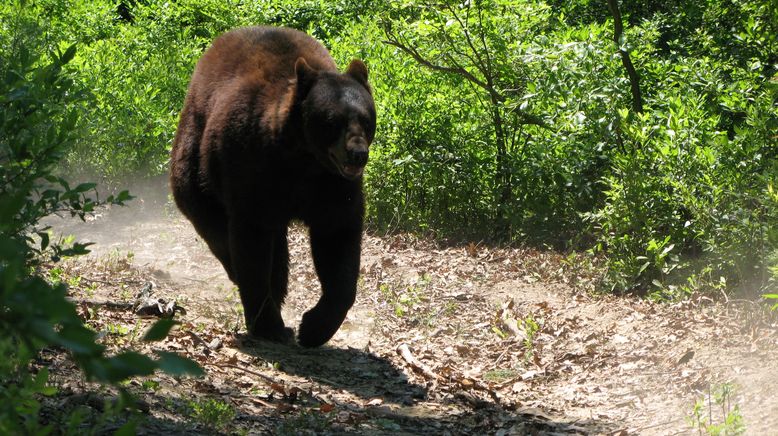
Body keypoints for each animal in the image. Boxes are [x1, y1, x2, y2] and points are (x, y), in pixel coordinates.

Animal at [170, 26, 376, 348]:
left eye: (366, 119)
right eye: (333, 121)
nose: (357, 154)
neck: (304, 160)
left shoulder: (332, 187)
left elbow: (338, 239)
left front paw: (313, 328)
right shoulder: (255, 170)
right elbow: (252, 244)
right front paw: (269, 325)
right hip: (198, 156)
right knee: (210, 219)